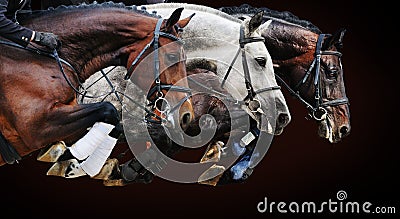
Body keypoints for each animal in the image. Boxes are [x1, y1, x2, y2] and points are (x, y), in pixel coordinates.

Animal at [0, 2, 195, 178]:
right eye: (172, 56)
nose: (186, 116)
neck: (41, 56)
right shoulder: (38, 126)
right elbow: (109, 109)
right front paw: (68, 159)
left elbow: (117, 125)